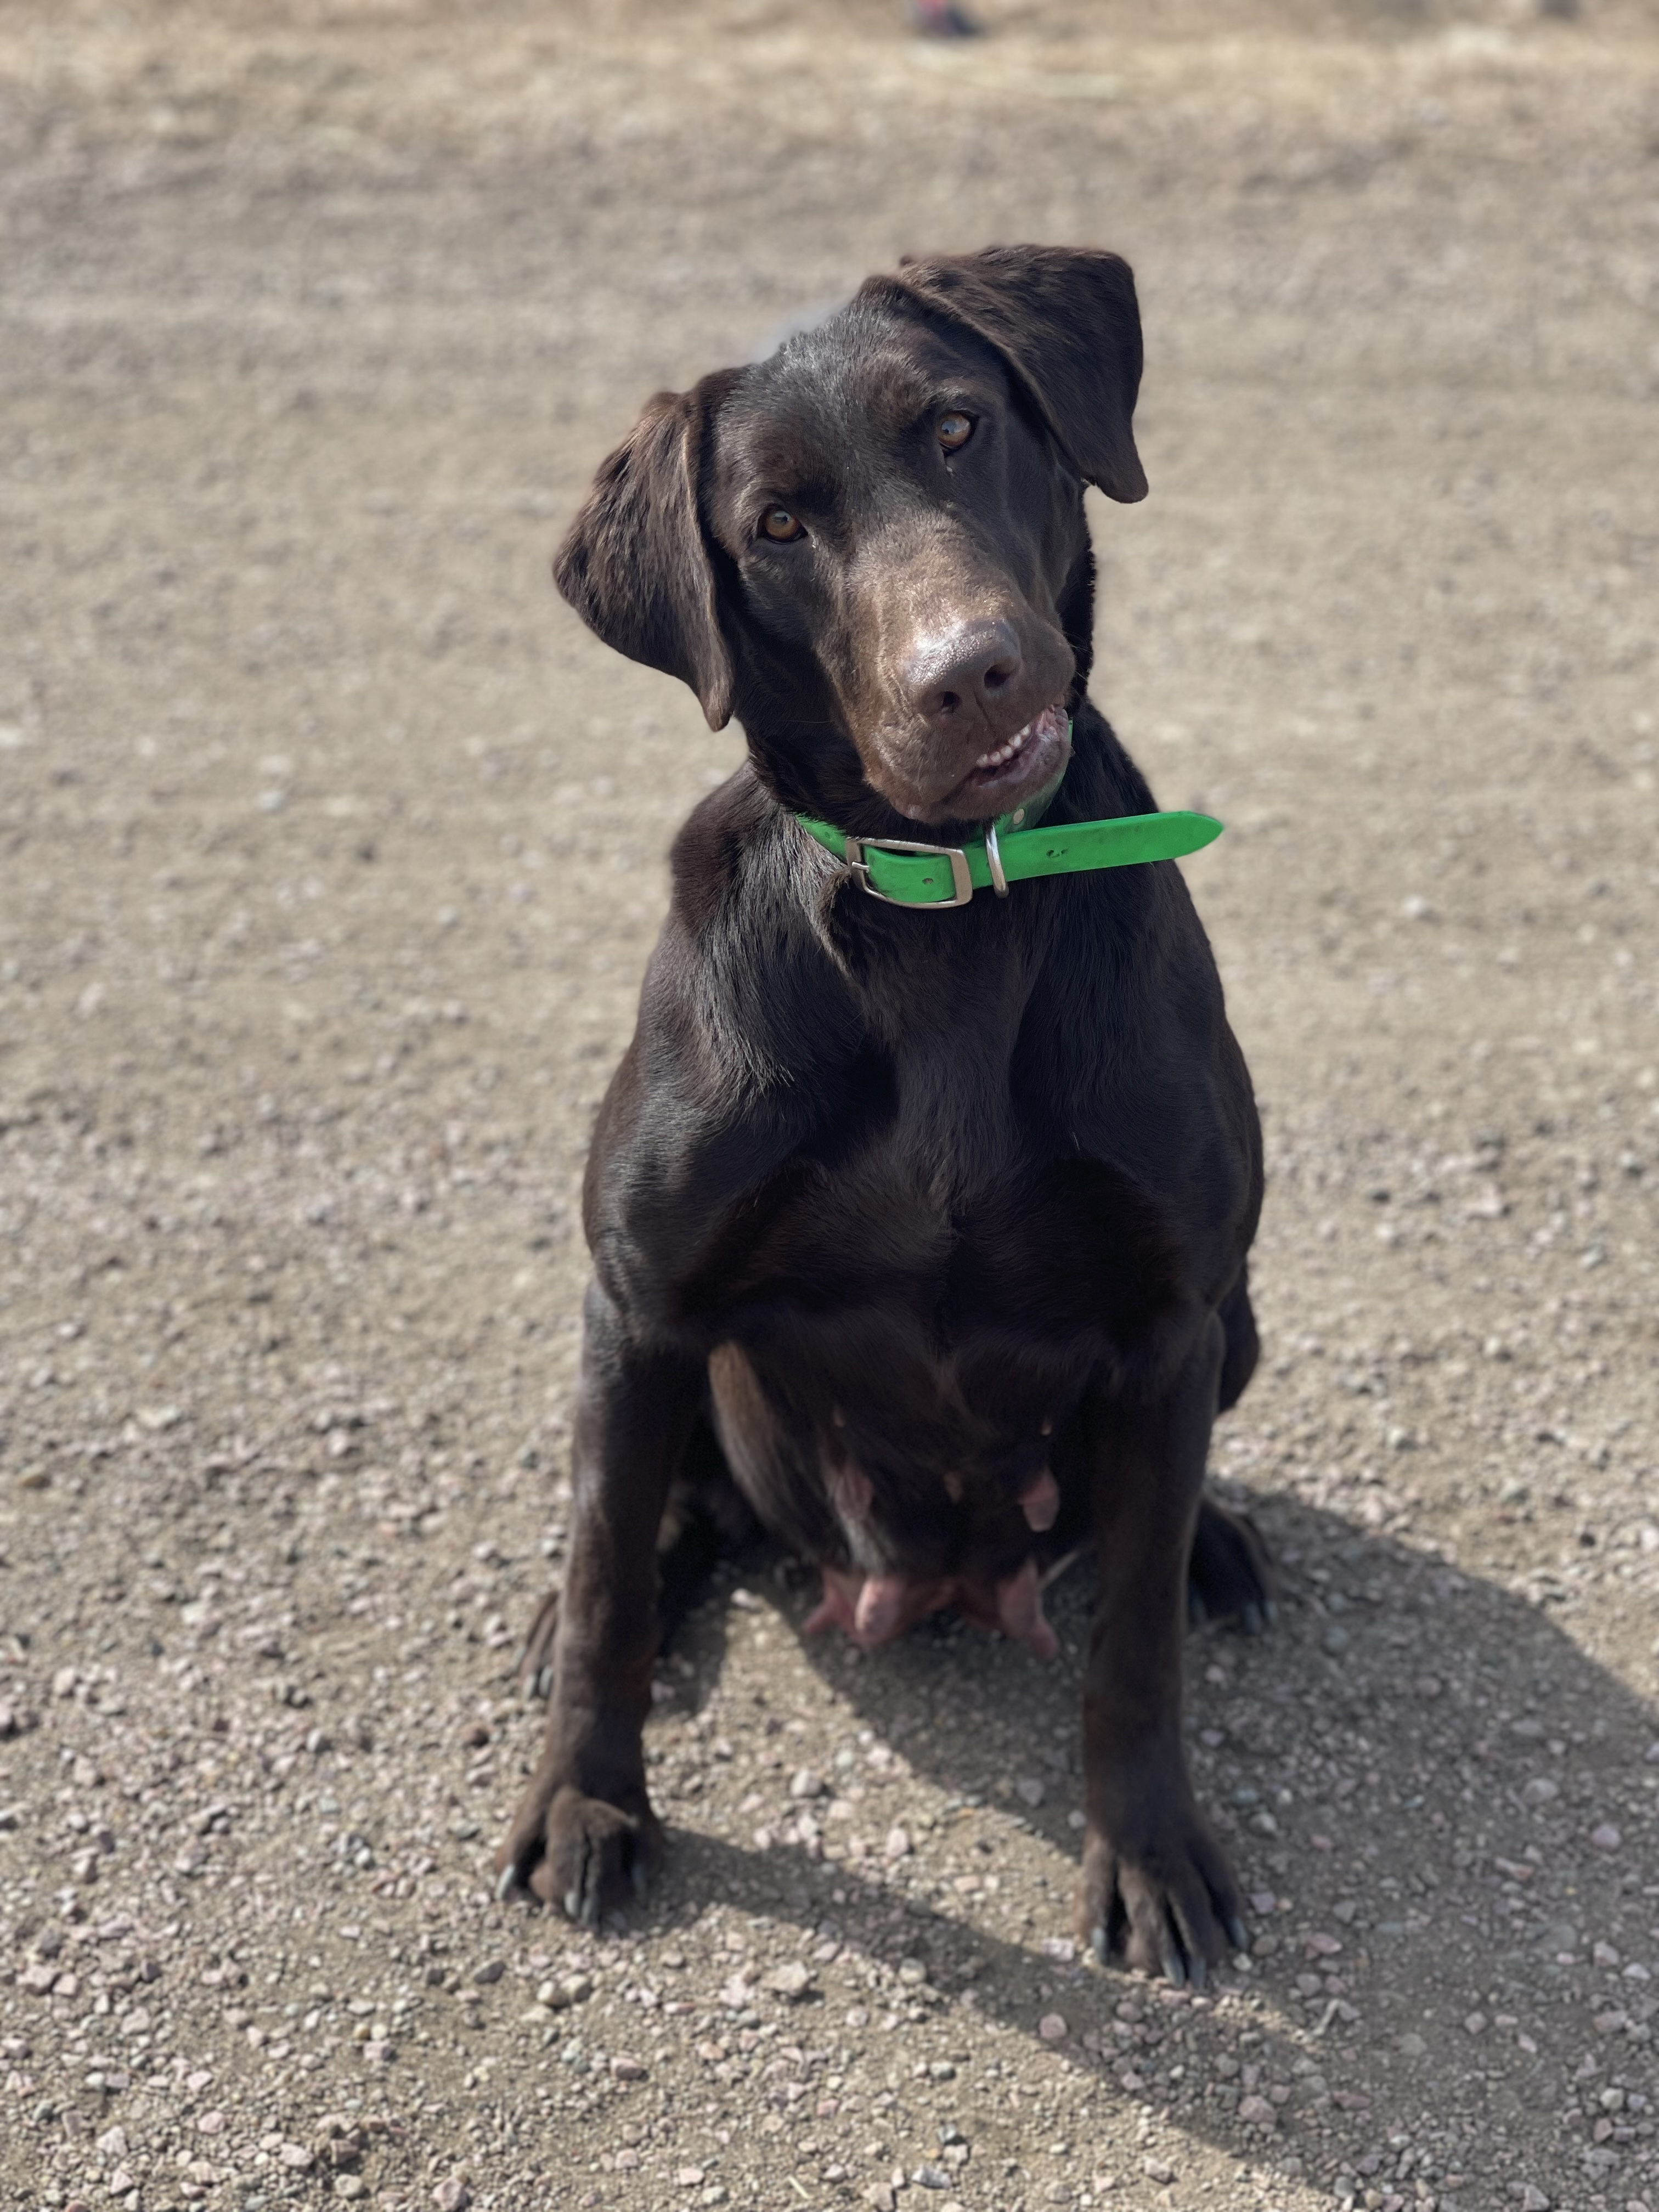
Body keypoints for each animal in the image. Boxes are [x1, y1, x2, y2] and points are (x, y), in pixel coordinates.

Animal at [493, 246, 1274, 1990]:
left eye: (960, 428)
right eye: (776, 525)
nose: (968, 671)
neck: (948, 914)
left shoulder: (1172, 1315)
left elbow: (1130, 1644)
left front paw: (1148, 1853)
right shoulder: (638, 1298)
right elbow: (608, 1595)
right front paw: (586, 1800)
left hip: (1242, 1320)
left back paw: (1218, 1546)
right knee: (643, 1514)